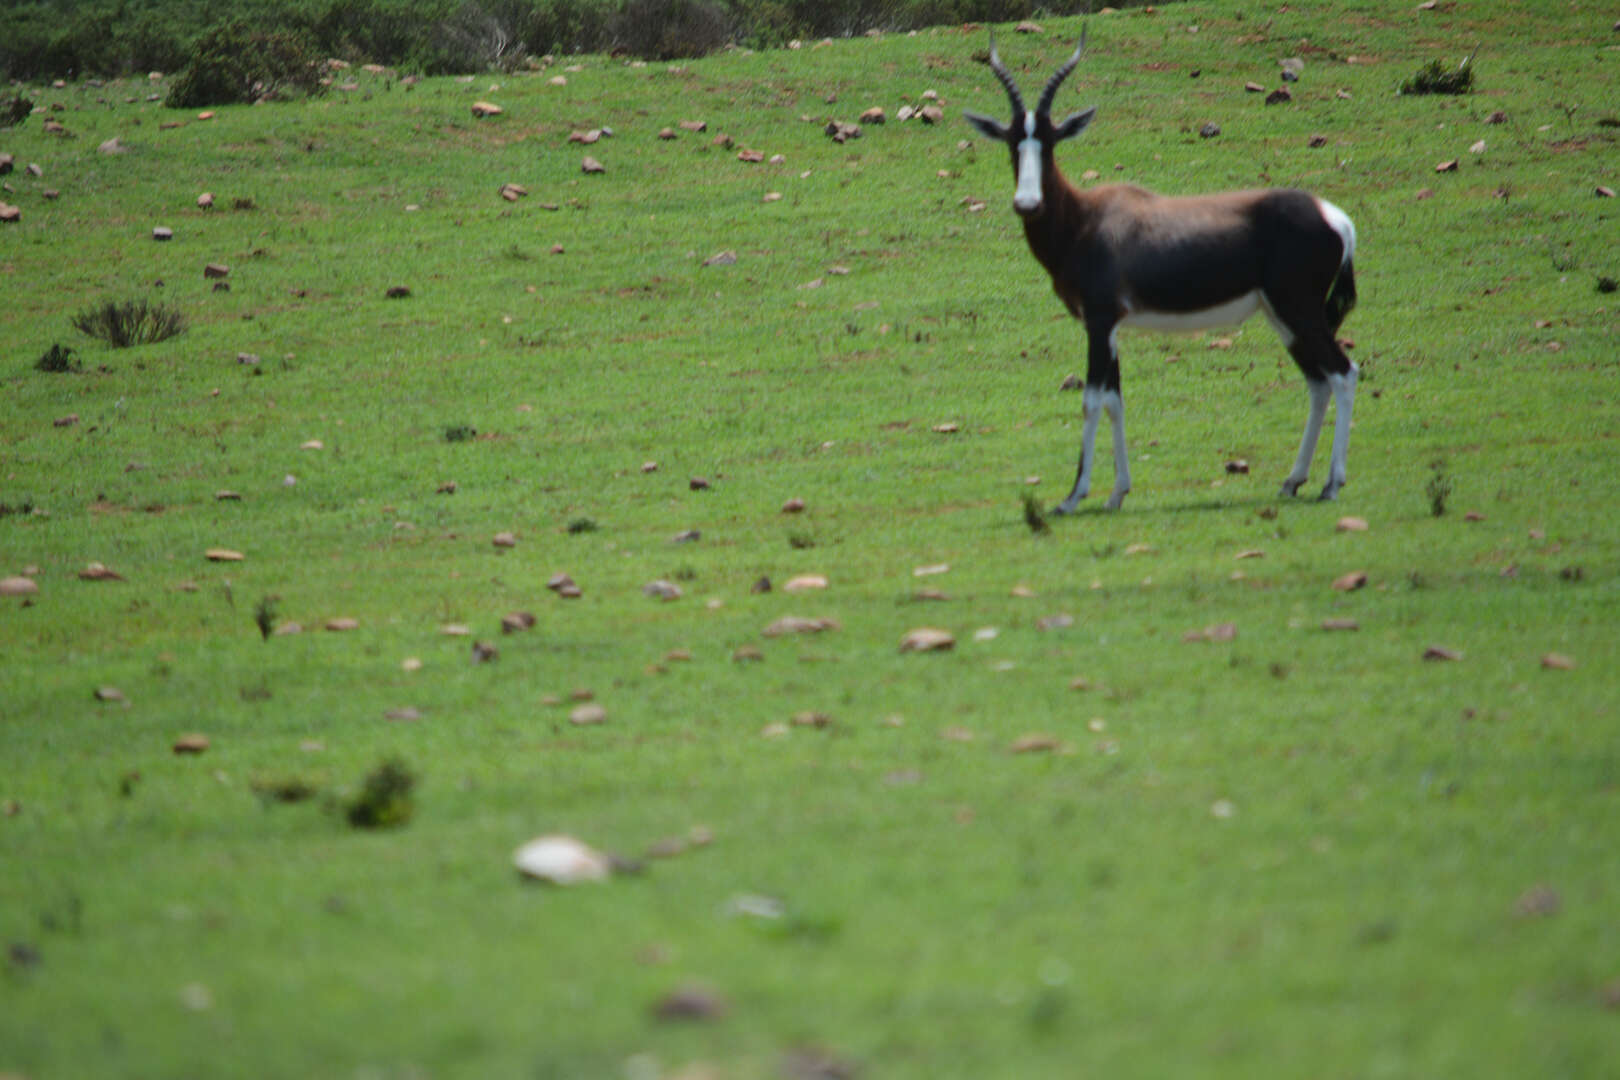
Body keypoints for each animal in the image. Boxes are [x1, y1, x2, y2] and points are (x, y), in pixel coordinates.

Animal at [965, 29, 1360, 511]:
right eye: (1011, 142)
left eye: (1051, 141)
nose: (1027, 203)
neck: (1086, 219)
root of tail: (1334, 217)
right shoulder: (1112, 327)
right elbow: (1115, 401)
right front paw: (1117, 492)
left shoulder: (1099, 321)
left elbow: (1092, 400)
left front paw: (1073, 496)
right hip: (1284, 318)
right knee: (1318, 382)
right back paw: (1292, 481)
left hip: (1298, 311)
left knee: (1343, 373)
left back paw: (1331, 484)